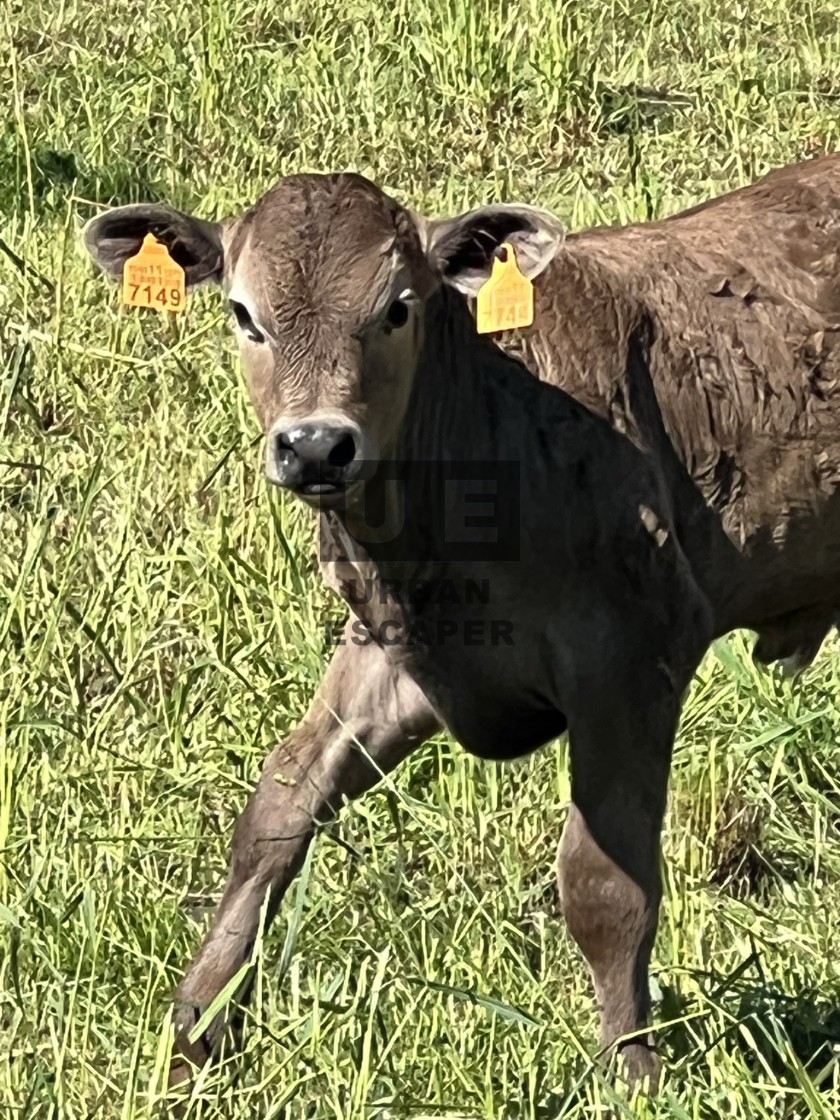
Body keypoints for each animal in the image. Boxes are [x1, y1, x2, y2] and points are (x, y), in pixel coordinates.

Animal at [84, 153, 840, 1088]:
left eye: (396, 308)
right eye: (243, 314)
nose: (315, 444)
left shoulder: (633, 655)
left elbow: (605, 885)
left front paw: (630, 1069)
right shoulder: (397, 651)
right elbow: (277, 809)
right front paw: (196, 1032)